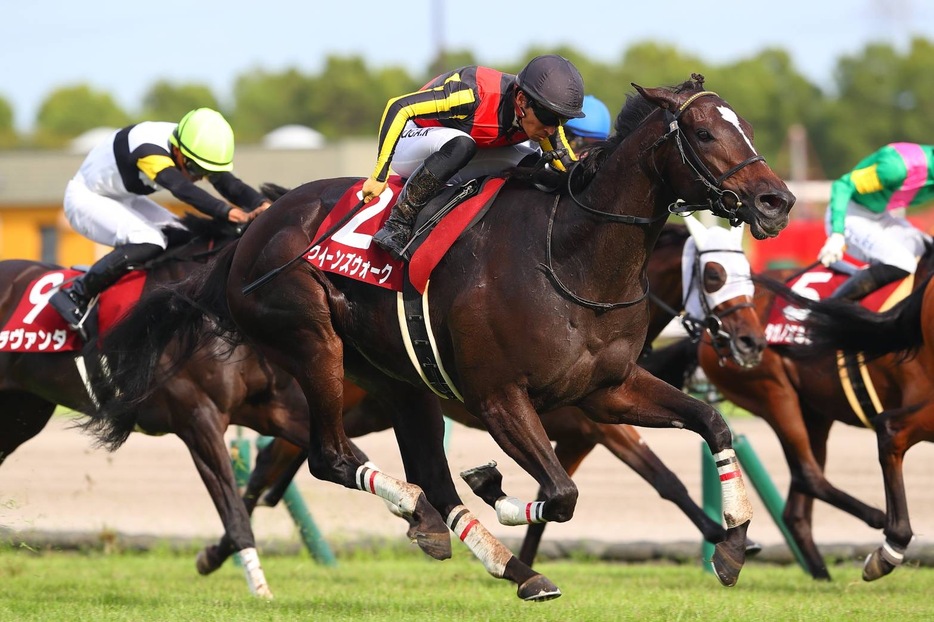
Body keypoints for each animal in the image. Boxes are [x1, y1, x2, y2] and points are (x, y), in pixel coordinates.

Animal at [88, 75, 792, 604]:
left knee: (418, 473)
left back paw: (491, 555)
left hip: (399, 379)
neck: (569, 257)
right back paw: (420, 513)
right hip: (313, 344)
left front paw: (733, 545)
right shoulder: (502, 398)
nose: (776, 201)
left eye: (747, 128)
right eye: (704, 132)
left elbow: (711, 426)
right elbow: (561, 493)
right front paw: (497, 487)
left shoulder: (606, 391)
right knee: (331, 458)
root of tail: (248, 234)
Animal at [700, 250, 934, 584]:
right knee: (813, 472)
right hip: (774, 393)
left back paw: (823, 572)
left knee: (797, 506)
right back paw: (881, 533)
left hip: (815, 413)